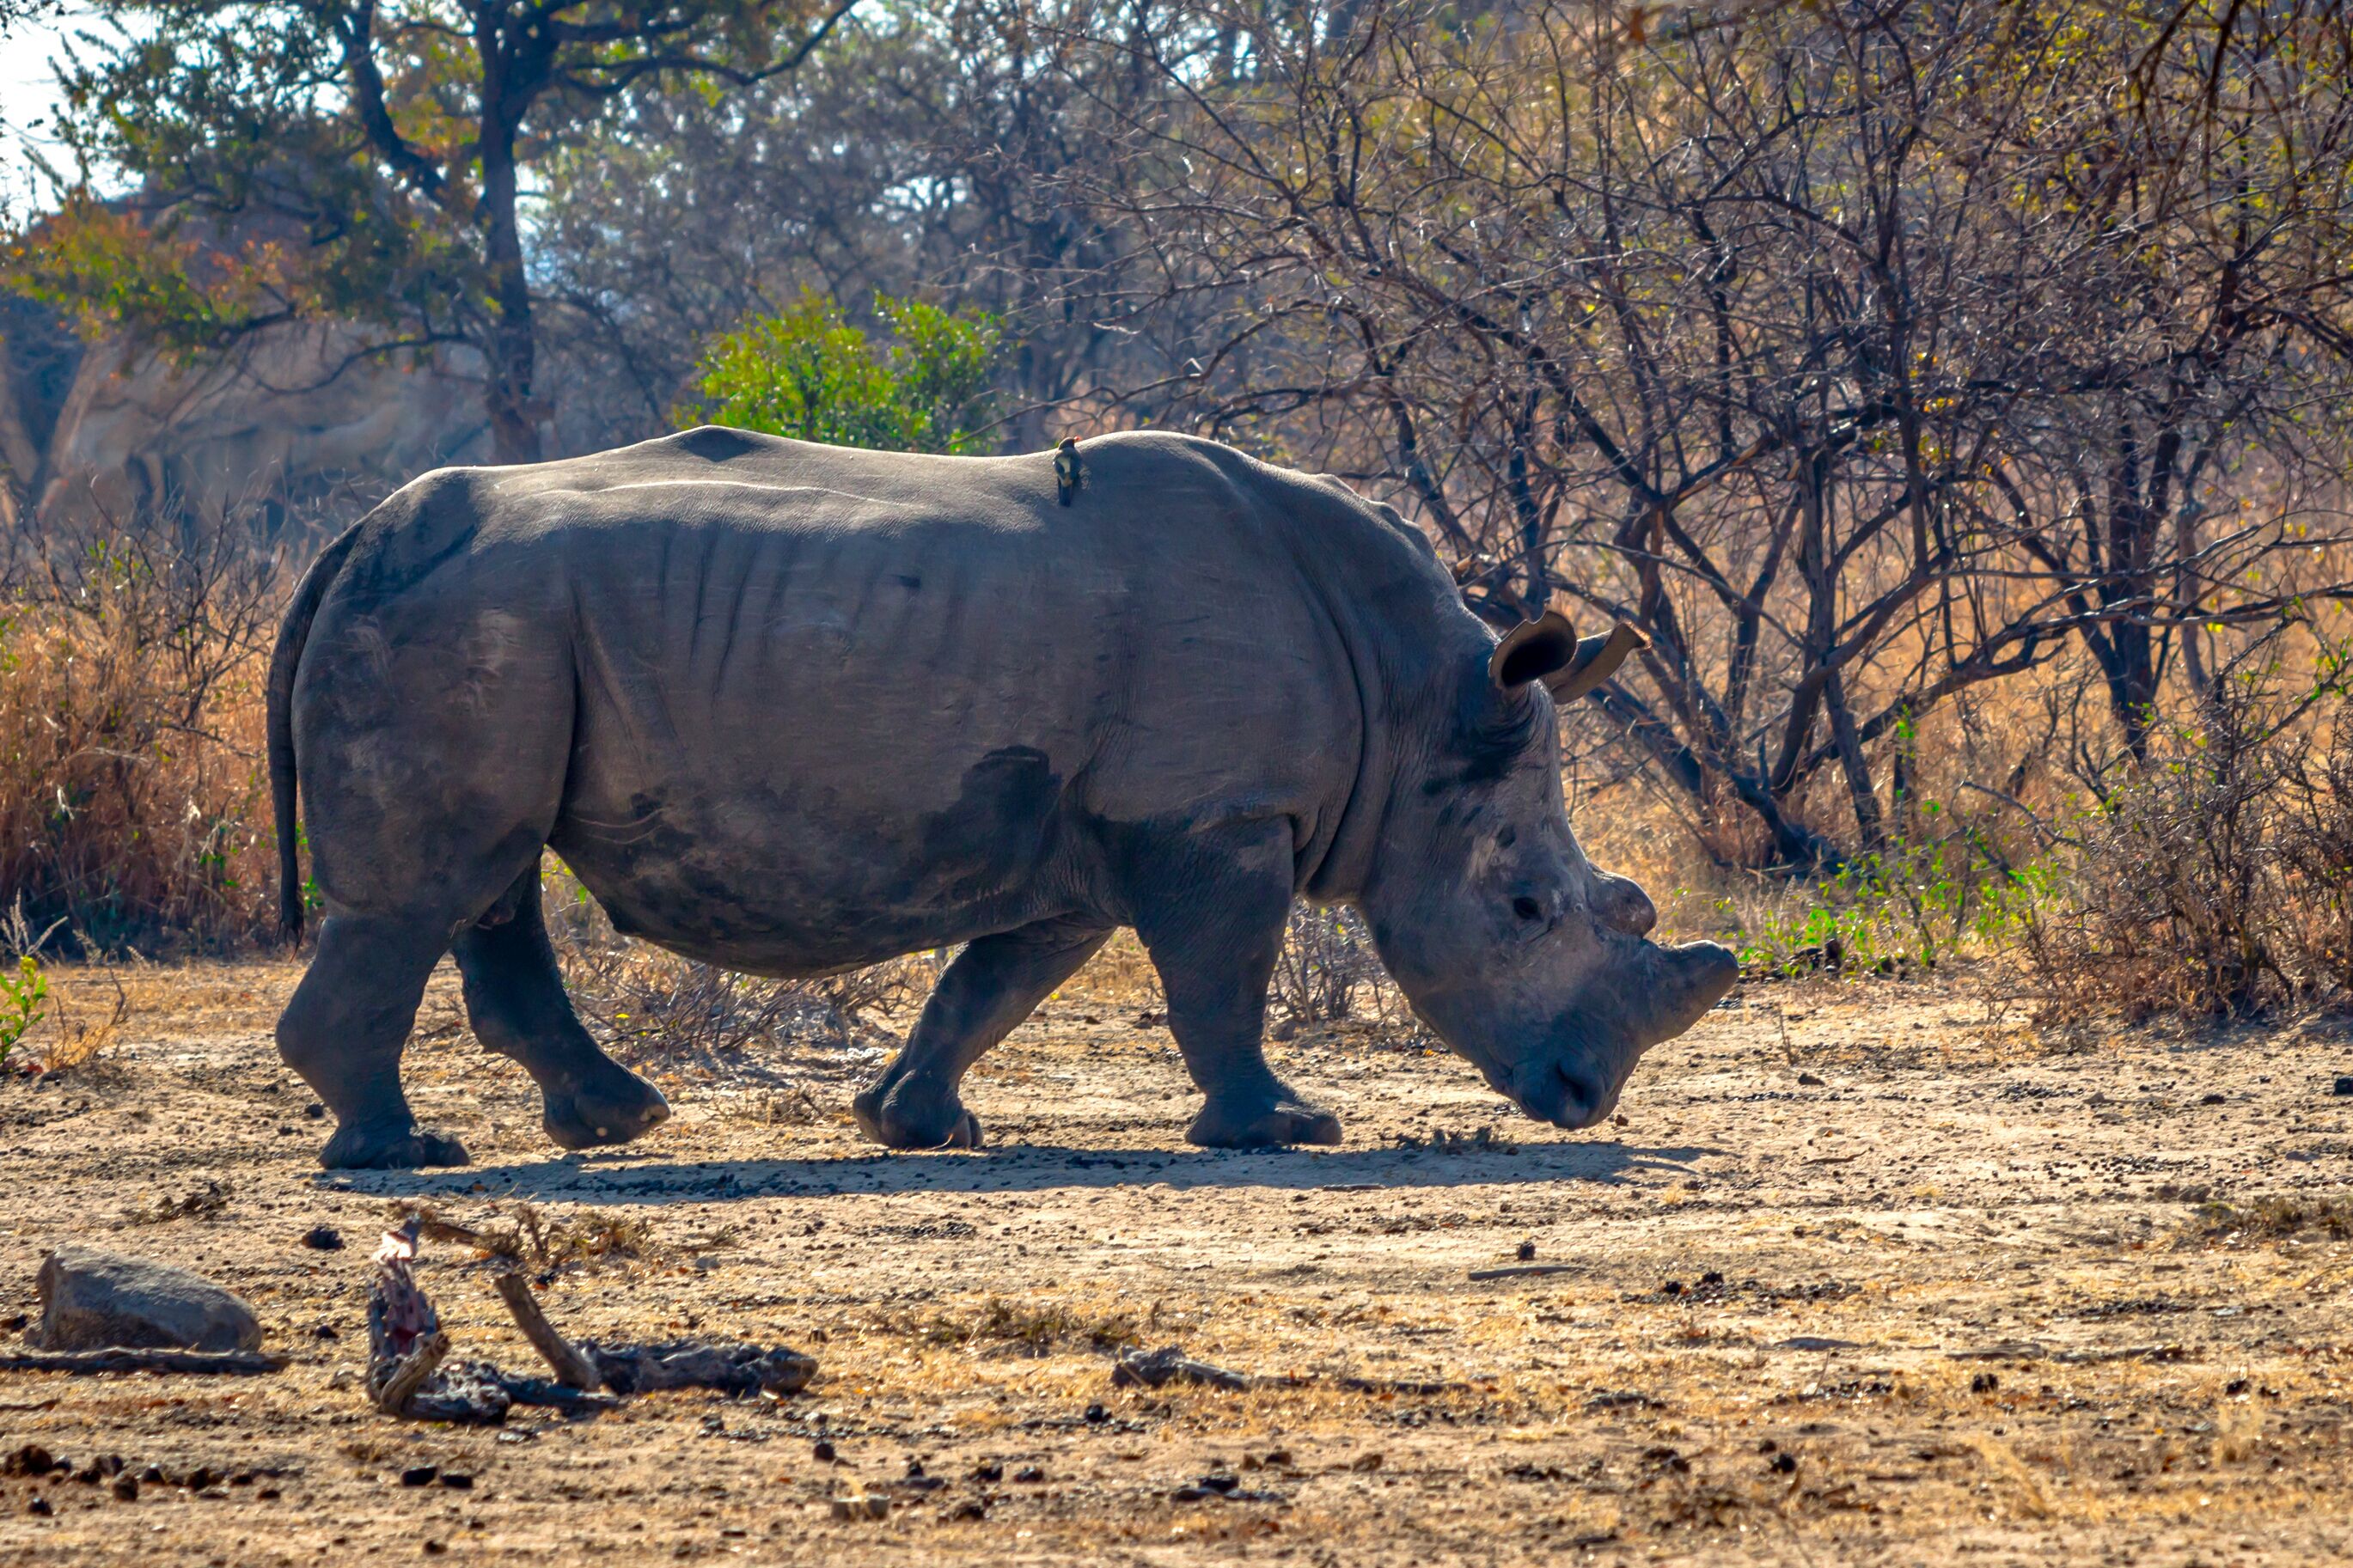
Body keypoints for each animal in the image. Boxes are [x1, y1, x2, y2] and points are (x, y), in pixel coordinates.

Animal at [265, 427, 1735, 1169]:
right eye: (1528, 906)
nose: (1584, 1098)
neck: (1417, 698)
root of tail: (355, 532)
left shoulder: (1096, 826)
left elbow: (999, 978)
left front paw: (912, 1124)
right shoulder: (1214, 811)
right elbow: (1221, 975)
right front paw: (1287, 1128)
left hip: (489, 621)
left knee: (487, 876)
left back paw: (612, 1122)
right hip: (468, 618)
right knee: (434, 881)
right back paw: (405, 1155)